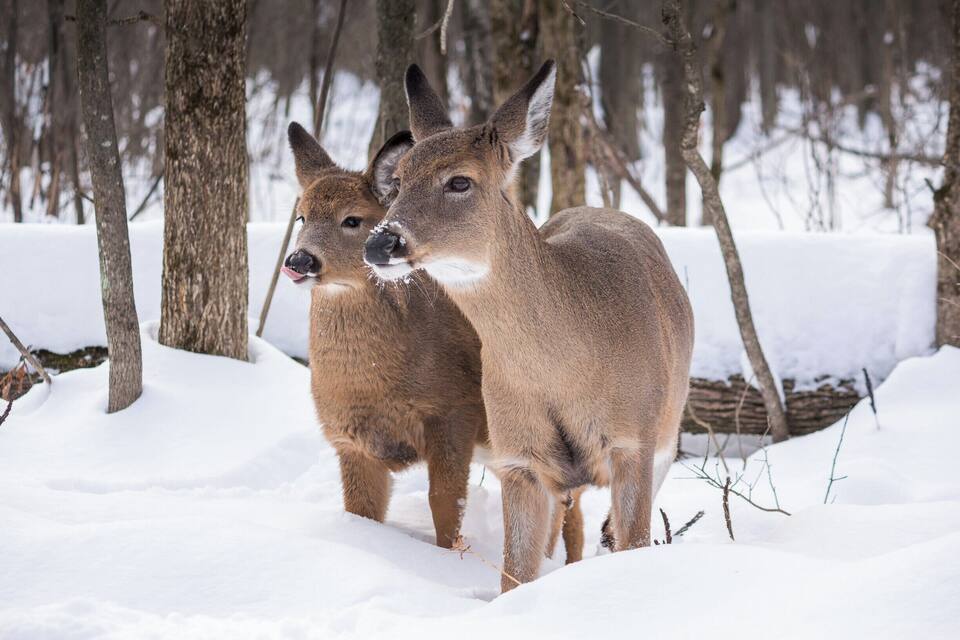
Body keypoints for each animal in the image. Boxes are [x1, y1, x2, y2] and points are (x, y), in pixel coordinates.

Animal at [282, 122, 585, 562]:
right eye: (301, 215)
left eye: (352, 219)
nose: (299, 260)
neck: (374, 383)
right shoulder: (350, 441)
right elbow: (361, 512)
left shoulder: (454, 410)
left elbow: (444, 502)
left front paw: (448, 559)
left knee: (570, 506)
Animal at [363, 61, 694, 592]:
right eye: (397, 179)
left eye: (460, 182)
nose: (381, 243)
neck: (568, 367)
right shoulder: (518, 456)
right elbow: (514, 575)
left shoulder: (633, 441)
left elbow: (635, 542)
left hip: (669, 422)